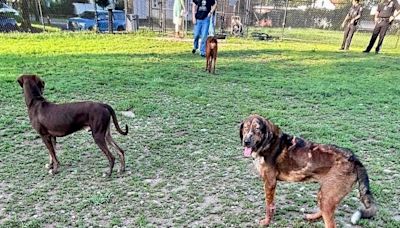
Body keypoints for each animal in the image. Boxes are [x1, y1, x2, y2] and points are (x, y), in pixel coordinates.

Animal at [239, 115, 376, 227]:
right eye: (245, 128)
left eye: (257, 129)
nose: (246, 142)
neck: (268, 142)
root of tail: (353, 158)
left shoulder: (270, 182)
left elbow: (269, 206)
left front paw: (266, 222)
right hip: (324, 194)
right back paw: (312, 217)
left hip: (327, 197)